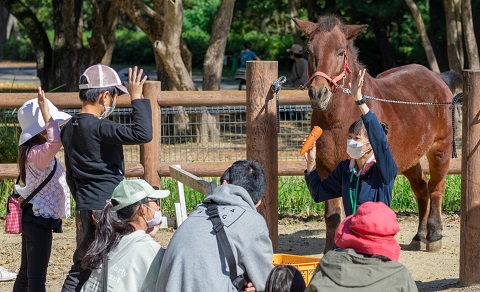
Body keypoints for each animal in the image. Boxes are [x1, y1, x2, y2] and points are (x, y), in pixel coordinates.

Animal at [294, 16, 456, 252]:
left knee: (436, 186)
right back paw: (419, 236)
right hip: (408, 158)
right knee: (421, 188)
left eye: (340, 52)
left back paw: (434, 235)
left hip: (440, 148)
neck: (337, 120)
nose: (318, 93)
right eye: (309, 50)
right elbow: (332, 215)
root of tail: (437, 78)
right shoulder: (326, 168)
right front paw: (330, 250)